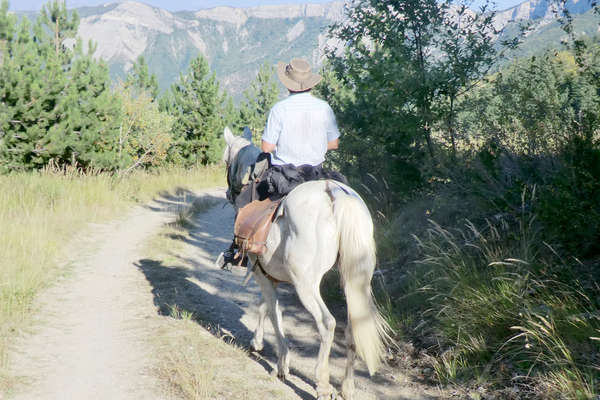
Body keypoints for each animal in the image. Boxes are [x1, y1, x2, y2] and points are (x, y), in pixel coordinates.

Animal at [223, 127, 392, 400]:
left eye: (226, 160)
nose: (229, 193)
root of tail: (334, 195)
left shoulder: (261, 273)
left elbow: (273, 313)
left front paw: (281, 363)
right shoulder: (269, 275)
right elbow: (265, 306)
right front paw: (258, 343)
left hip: (306, 284)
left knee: (327, 323)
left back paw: (322, 383)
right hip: (356, 280)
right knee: (353, 325)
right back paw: (347, 387)